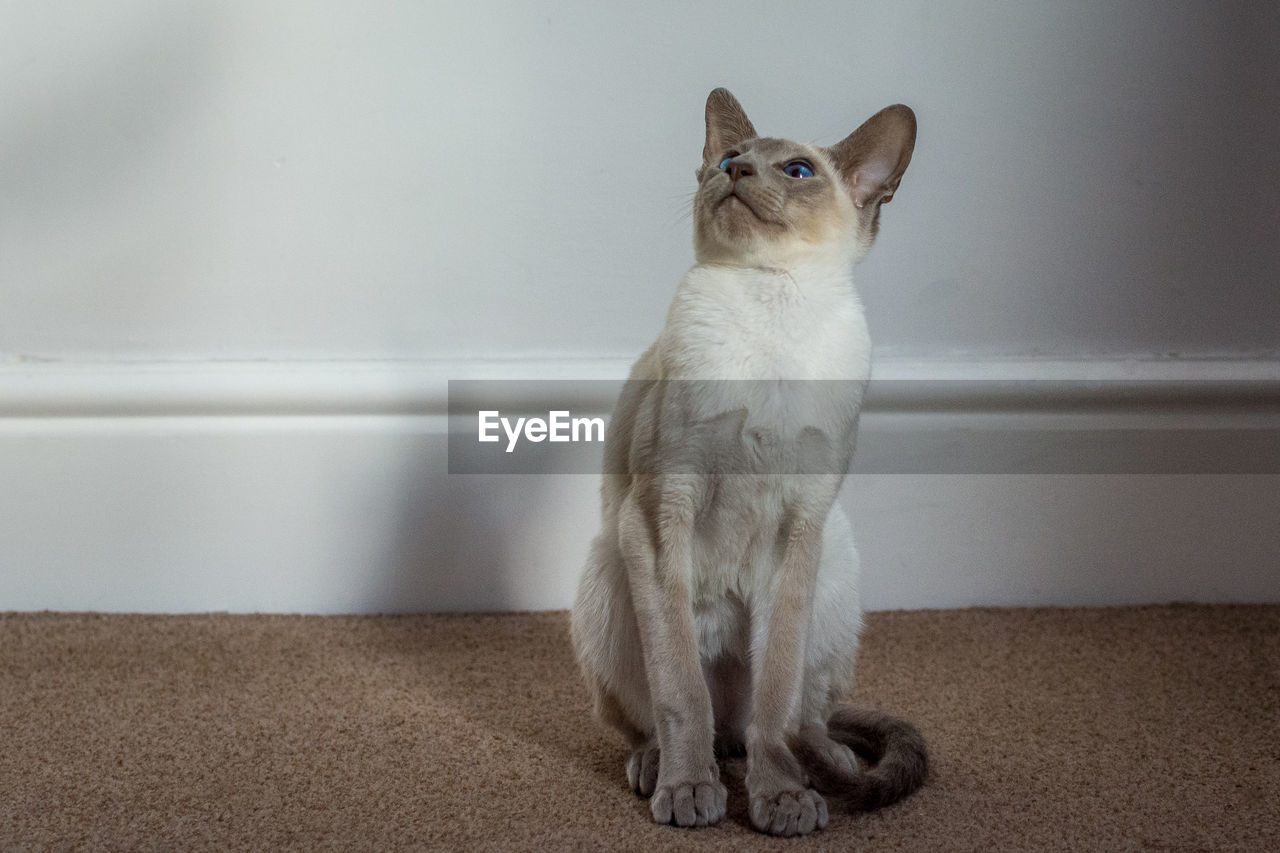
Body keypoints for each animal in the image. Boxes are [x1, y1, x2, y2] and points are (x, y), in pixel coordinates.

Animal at [576, 87, 926, 835]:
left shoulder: (800, 525)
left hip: (834, 566)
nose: (734, 172)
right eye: (730, 158)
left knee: (791, 718)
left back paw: (823, 765)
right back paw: (665, 768)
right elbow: (682, 694)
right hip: (610, 566)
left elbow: (776, 700)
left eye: (796, 171)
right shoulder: (661, 513)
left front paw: (782, 798)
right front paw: (688, 791)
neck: (772, 304)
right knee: (677, 720)